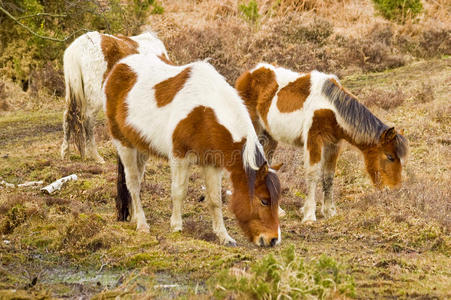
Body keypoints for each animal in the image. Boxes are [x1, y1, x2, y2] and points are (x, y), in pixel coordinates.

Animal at [61, 31, 170, 163]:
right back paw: (95, 156)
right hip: (94, 98)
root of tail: (78, 48)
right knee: (88, 120)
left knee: (68, 116)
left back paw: (66, 153)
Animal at [104, 55, 284, 247]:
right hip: (124, 144)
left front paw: (224, 236)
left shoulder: (212, 164)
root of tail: (119, 66)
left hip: (141, 149)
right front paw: (176, 226)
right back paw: (142, 224)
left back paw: (134, 217)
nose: (273, 240)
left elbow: (215, 200)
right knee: (133, 183)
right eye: (264, 200)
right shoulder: (180, 158)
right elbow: (179, 191)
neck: (204, 114)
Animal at [237, 63, 410, 223]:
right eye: (389, 156)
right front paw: (309, 215)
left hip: (270, 137)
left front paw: (328, 211)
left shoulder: (333, 144)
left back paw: (277, 210)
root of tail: (249, 74)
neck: (332, 108)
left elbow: (329, 176)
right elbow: (313, 174)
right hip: (253, 131)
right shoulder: (314, 140)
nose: (393, 189)